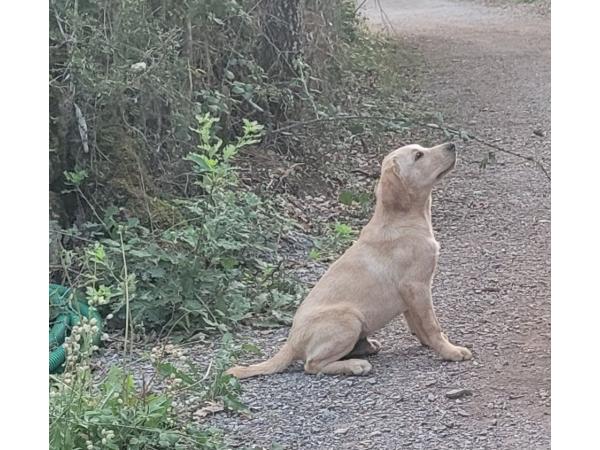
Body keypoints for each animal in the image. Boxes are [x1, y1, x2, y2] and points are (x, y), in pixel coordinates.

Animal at [227, 142, 472, 378]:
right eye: (418, 156)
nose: (452, 145)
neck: (401, 219)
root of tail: (291, 343)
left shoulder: (410, 296)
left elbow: (418, 324)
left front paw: (430, 343)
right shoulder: (417, 286)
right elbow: (431, 324)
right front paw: (450, 350)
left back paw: (366, 347)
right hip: (349, 319)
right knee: (312, 365)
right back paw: (355, 365)